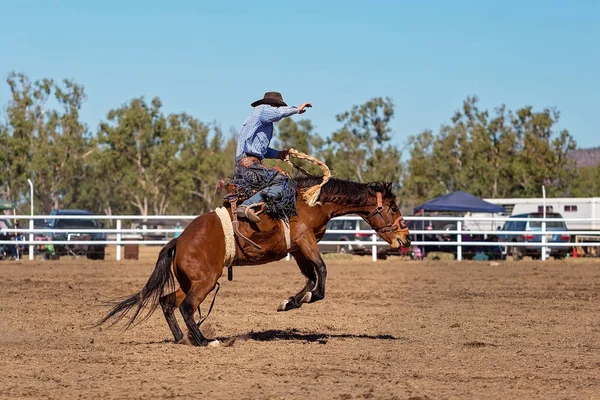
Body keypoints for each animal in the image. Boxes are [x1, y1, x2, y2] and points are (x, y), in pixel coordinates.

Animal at [99, 177, 412, 346]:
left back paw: (182, 338)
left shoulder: (298, 248)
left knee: (167, 302)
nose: (406, 239)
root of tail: (179, 240)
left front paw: (290, 301)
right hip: (205, 281)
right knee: (187, 308)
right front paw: (308, 297)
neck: (310, 201)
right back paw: (206, 341)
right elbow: (321, 272)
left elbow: (310, 276)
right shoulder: (305, 241)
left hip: (192, 282)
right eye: (393, 206)